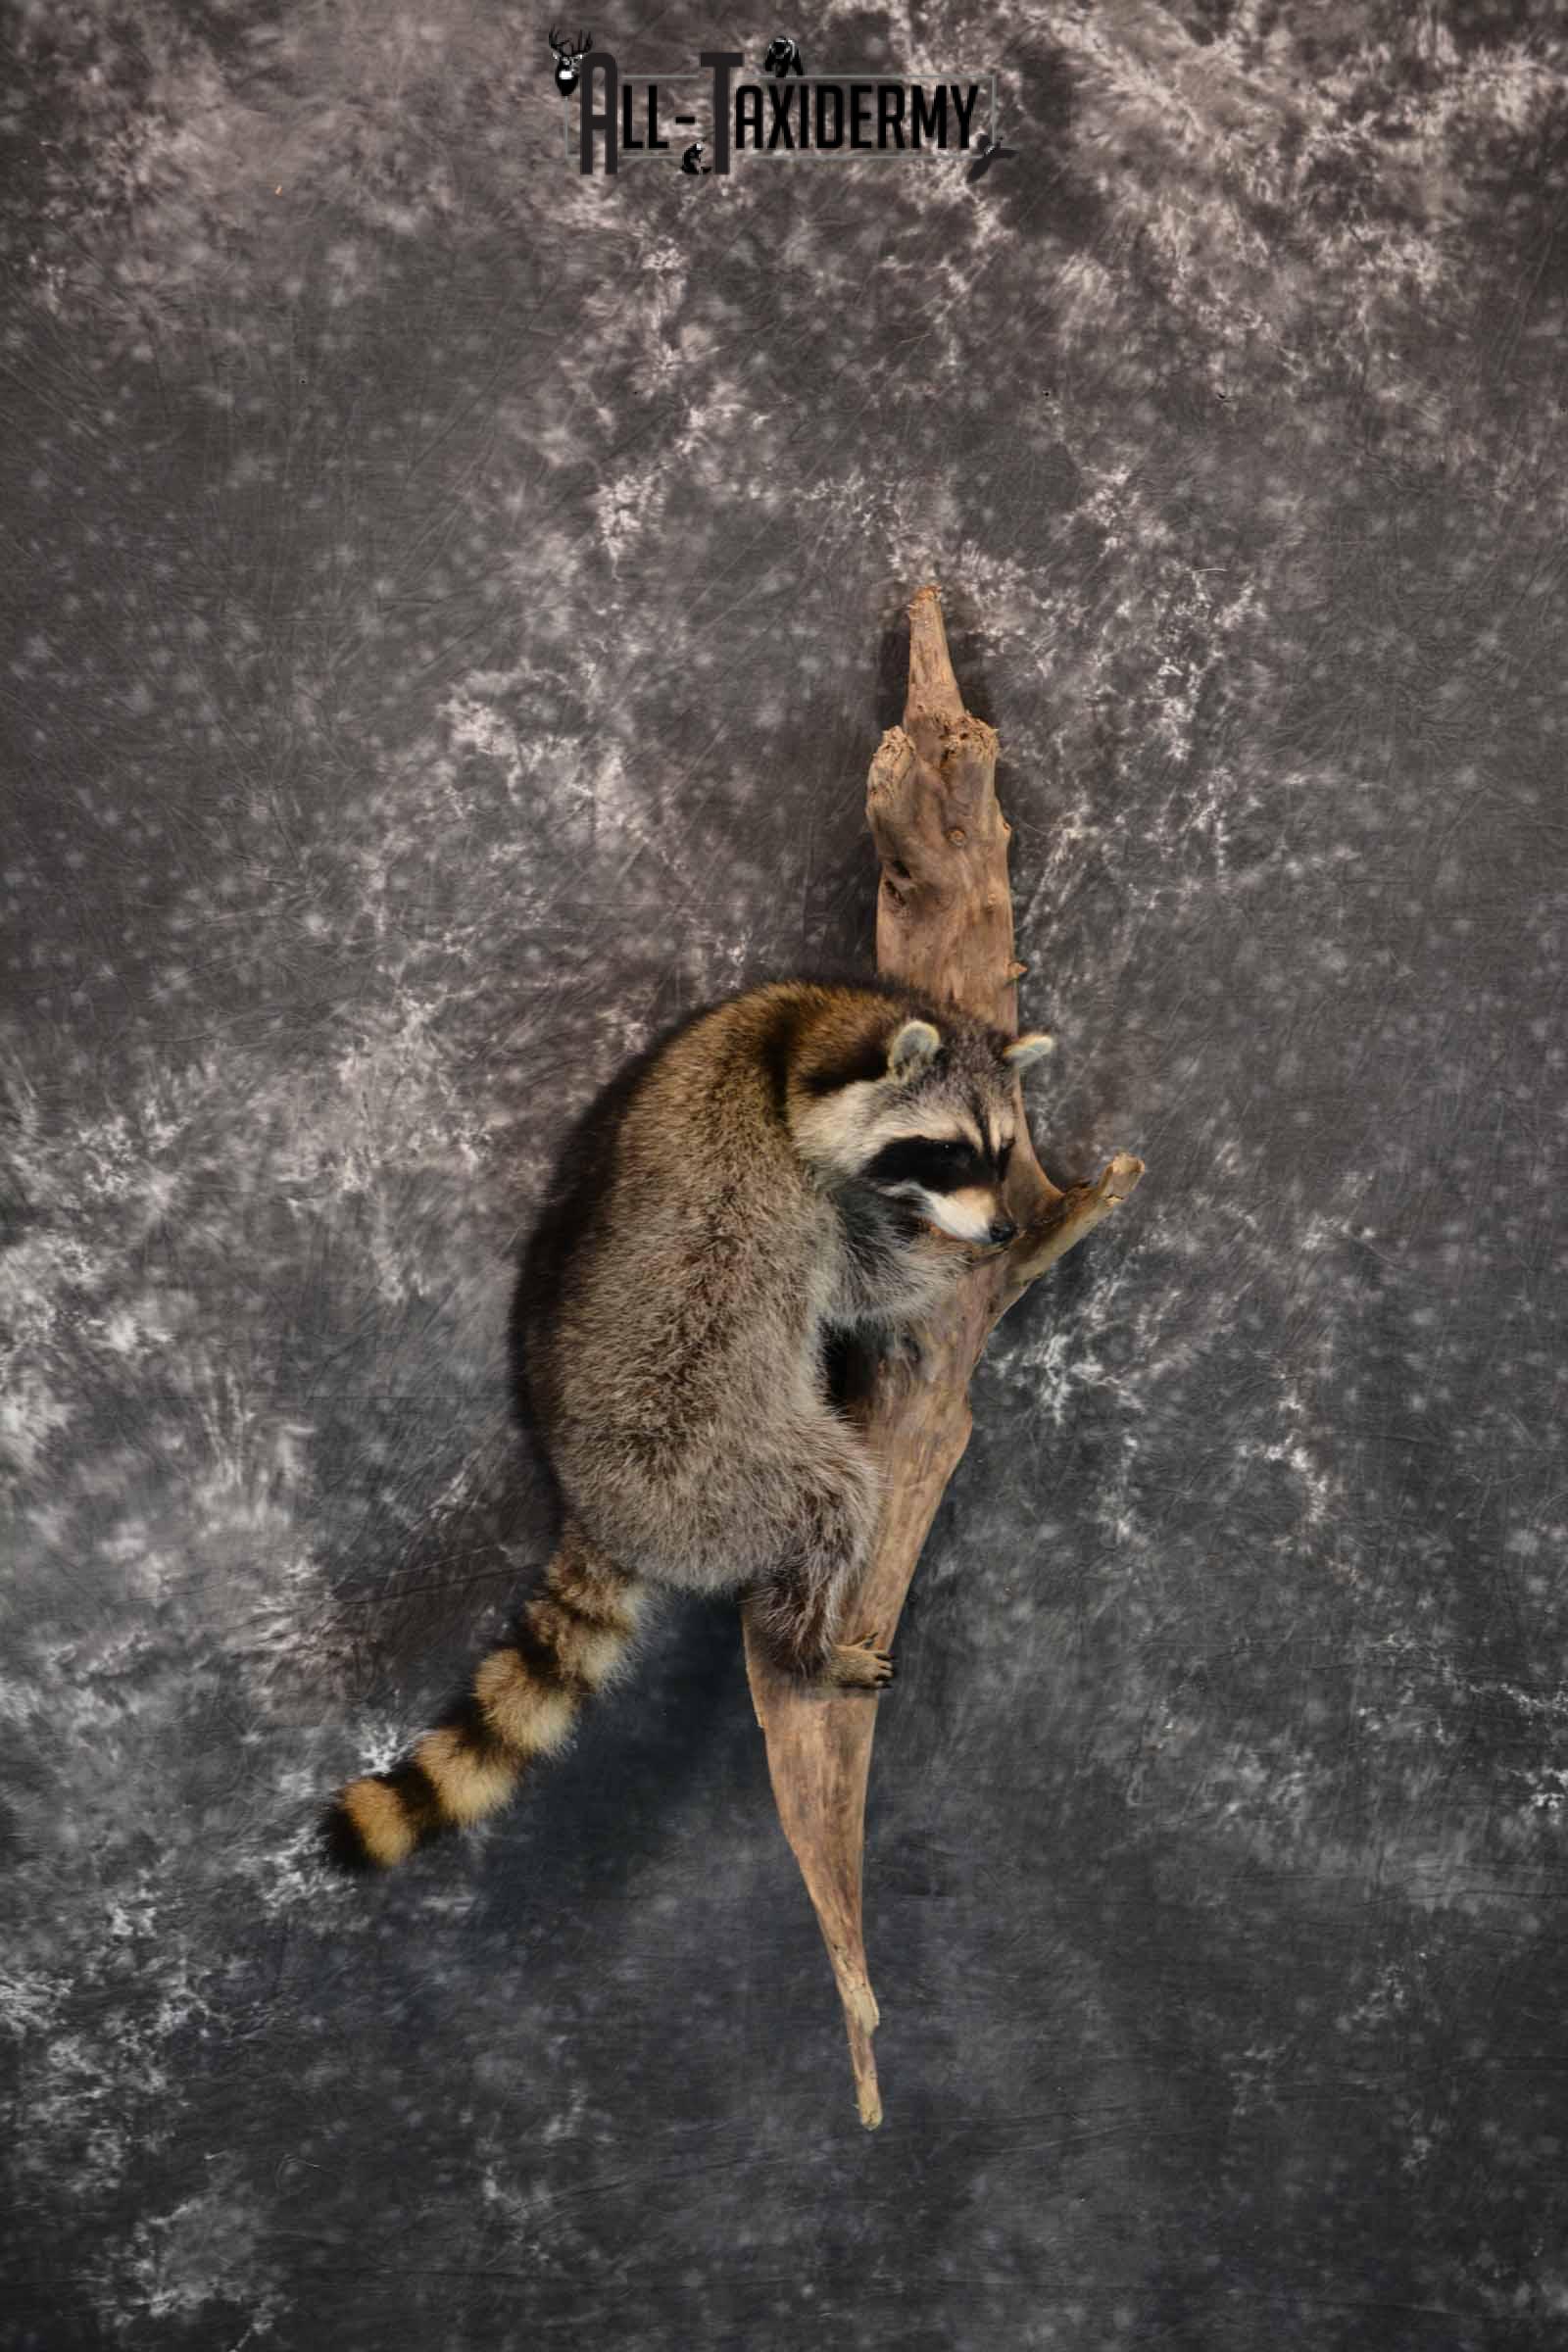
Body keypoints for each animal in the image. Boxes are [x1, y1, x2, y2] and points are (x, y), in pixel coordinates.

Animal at [322, 981, 1053, 1870]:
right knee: (834, 1497)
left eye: (1002, 1149)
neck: (800, 1034)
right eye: (944, 1152)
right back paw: (803, 1647)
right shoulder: (794, 1190)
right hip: (708, 1466)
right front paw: (957, 1256)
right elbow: (864, 1283)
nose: (1001, 1229)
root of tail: (599, 1510)